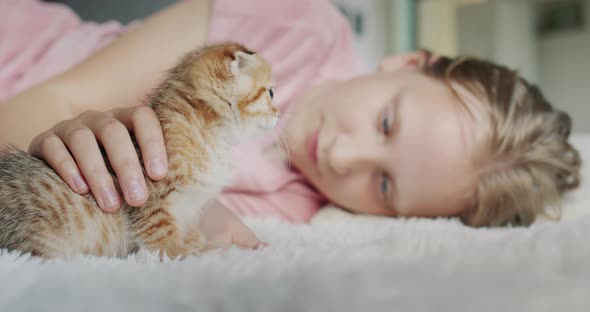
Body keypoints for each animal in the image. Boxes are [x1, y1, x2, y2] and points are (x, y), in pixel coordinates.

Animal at [0, 42, 280, 260]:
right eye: (271, 93)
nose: (279, 115)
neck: (209, 131)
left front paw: (196, 240)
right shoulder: (150, 197)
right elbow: (160, 232)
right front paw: (184, 252)